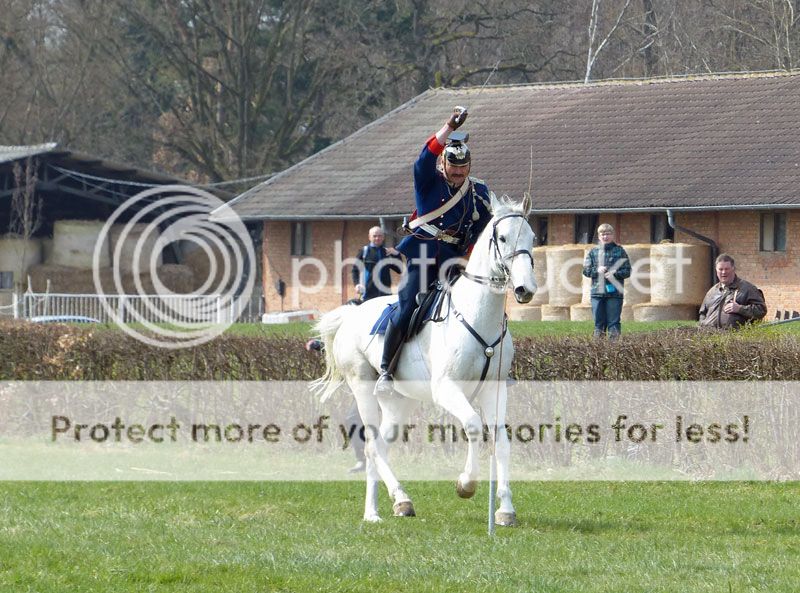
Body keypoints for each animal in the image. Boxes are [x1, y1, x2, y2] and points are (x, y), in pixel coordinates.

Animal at [312, 194, 536, 524]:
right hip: (363, 388)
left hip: (398, 402)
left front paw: (505, 509)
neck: (477, 315)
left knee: (380, 446)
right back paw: (388, 504)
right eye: (503, 237)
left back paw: (385, 506)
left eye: (533, 238)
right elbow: (472, 425)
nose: (525, 289)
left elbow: (501, 441)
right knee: (372, 447)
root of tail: (352, 314)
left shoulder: (495, 389)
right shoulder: (447, 389)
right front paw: (466, 484)